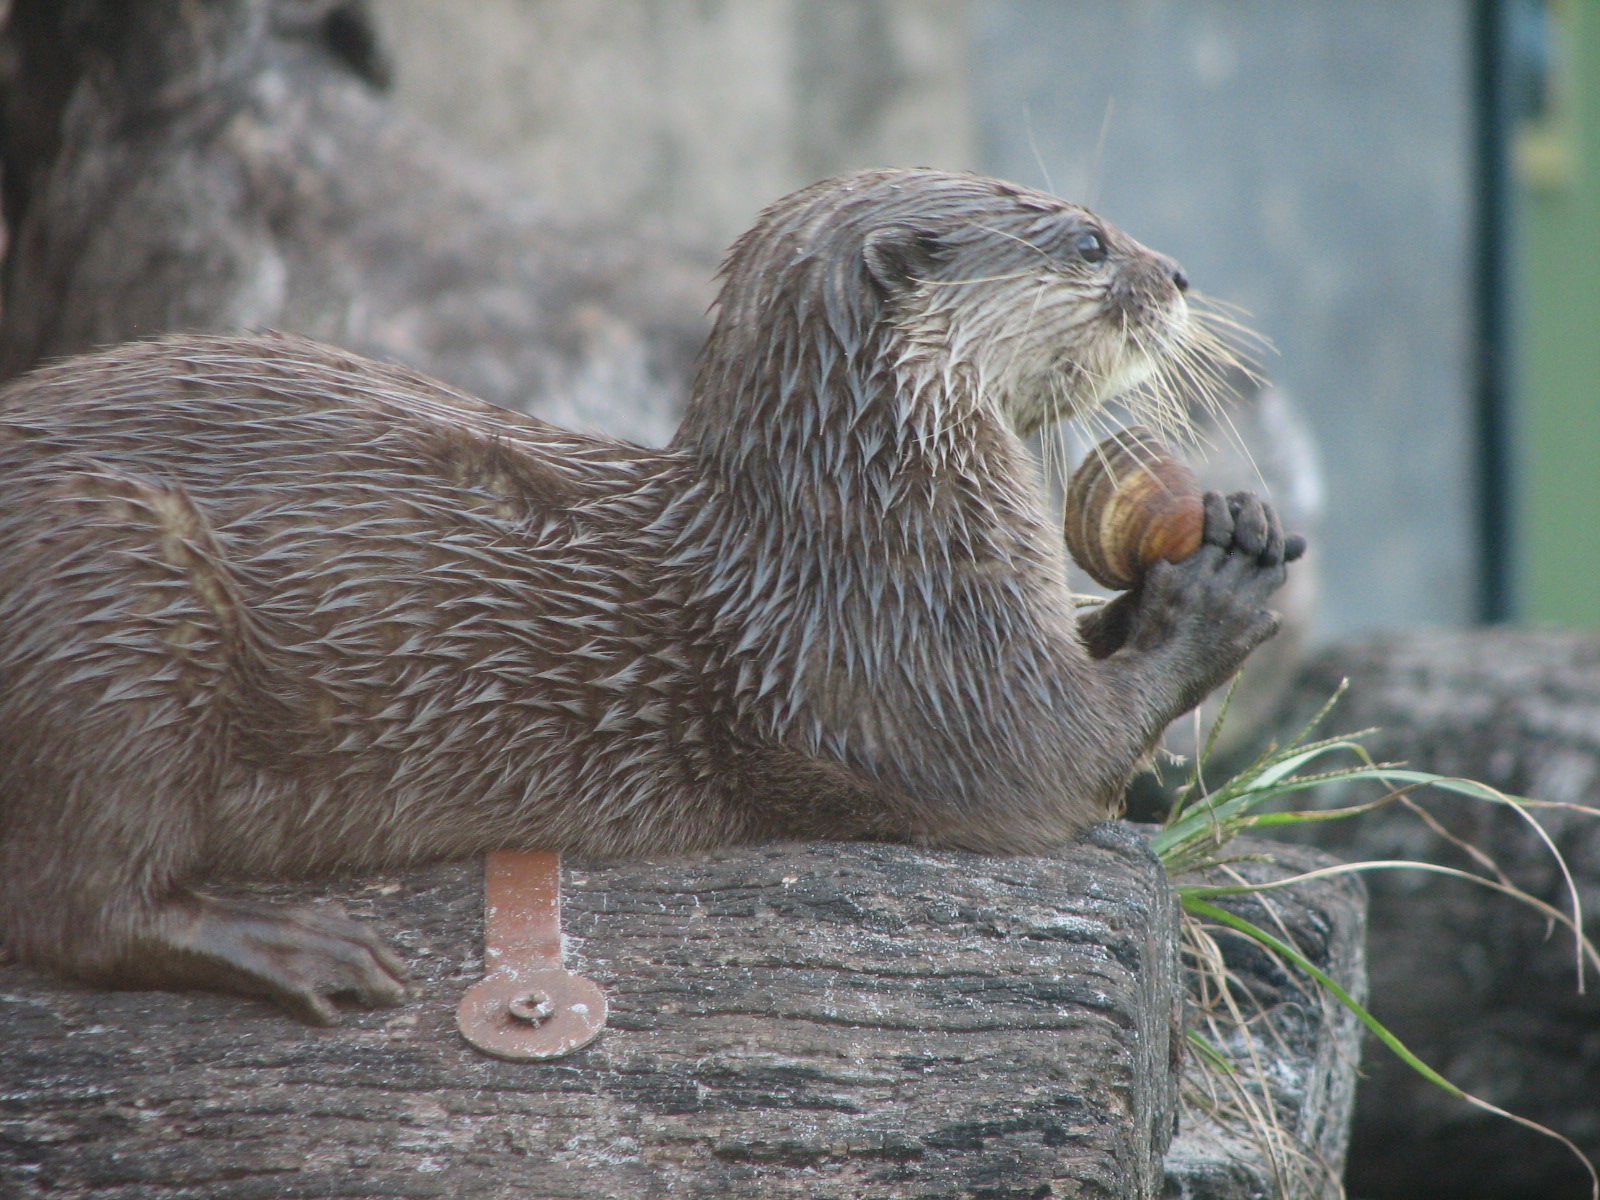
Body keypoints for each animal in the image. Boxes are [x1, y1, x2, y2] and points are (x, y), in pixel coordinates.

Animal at [0, 169, 1301, 1023]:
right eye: (1085, 242)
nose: (1177, 274)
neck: (870, 515)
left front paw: (1217, 533)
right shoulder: (906, 662)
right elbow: (1055, 758)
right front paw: (1217, 585)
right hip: (115, 596)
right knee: (79, 905)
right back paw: (298, 948)